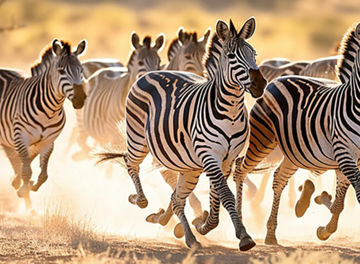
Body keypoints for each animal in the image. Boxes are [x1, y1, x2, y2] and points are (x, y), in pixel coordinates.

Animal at [0, 39, 87, 208]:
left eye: (81, 70)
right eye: (61, 71)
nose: (80, 100)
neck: (49, 111)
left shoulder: (48, 141)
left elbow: (42, 174)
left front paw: (27, 186)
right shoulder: (21, 137)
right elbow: (27, 170)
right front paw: (23, 190)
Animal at [98, 17, 268, 251]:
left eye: (254, 54)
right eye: (232, 56)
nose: (260, 85)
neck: (230, 110)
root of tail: (149, 73)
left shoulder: (227, 159)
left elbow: (217, 195)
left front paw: (204, 225)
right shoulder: (210, 155)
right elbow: (225, 195)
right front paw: (243, 236)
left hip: (189, 167)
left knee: (177, 197)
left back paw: (187, 235)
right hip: (138, 139)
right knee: (129, 162)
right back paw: (139, 199)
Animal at [233, 21, 360, 244]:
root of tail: (276, 80)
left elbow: (340, 199)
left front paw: (325, 226)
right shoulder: (344, 154)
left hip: (293, 153)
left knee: (278, 178)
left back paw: (271, 232)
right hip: (265, 142)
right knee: (241, 168)